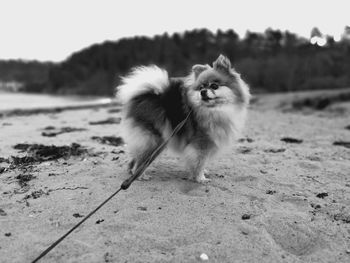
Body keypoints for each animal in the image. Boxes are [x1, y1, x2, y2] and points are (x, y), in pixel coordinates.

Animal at [117, 55, 249, 184]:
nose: (203, 92)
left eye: (214, 86)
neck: (215, 110)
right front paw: (200, 178)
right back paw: (140, 176)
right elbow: (200, 162)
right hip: (152, 140)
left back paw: (132, 174)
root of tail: (142, 96)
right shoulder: (201, 143)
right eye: (201, 87)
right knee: (140, 159)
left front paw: (202, 173)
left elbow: (202, 162)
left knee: (135, 157)